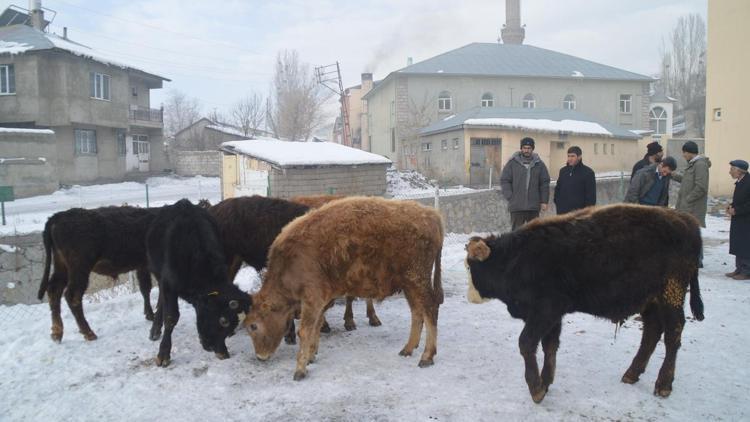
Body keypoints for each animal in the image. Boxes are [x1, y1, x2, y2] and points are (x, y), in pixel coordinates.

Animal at [39, 207, 159, 342]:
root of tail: (58, 216)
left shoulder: (142, 266)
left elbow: (145, 288)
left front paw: (150, 314)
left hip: (62, 267)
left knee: (54, 290)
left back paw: (57, 333)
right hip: (80, 269)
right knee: (72, 296)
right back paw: (89, 333)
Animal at [148, 199, 253, 366]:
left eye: (232, 329)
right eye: (223, 321)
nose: (216, 350)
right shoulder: (169, 283)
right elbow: (171, 317)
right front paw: (163, 354)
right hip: (157, 273)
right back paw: (155, 330)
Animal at [247, 196, 446, 380]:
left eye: (253, 326)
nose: (260, 356)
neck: (290, 260)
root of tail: (431, 214)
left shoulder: (312, 299)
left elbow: (305, 331)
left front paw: (300, 370)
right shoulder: (321, 301)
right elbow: (316, 326)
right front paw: (311, 356)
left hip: (418, 280)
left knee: (430, 309)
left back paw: (427, 356)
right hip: (409, 285)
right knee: (417, 312)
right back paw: (407, 349)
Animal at [468, 206, 708, 404]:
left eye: (471, 266)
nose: (471, 296)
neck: (515, 258)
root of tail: (687, 221)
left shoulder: (544, 312)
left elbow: (527, 343)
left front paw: (536, 389)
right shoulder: (554, 316)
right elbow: (550, 346)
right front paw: (546, 382)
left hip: (671, 296)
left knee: (672, 335)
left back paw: (663, 385)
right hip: (650, 301)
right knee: (651, 332)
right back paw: (631, 374)